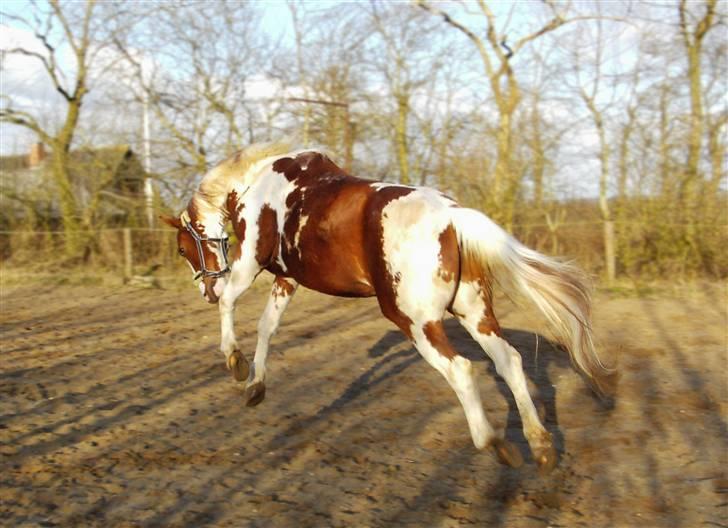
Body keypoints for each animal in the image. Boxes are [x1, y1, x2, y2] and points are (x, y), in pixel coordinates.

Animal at [162, 141, 616, 474]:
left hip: (414, 321)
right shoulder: (286, 279)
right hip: (474, 313)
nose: (204, 289)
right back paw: (540, 446)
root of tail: (453, 215)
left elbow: (231, 306)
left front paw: (235, 363)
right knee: (510, 361)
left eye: (183, 248)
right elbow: (266, 328)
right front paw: (256, 386)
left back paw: (495, 443)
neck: (260, 185)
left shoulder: (250, 262)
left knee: (462, 370)